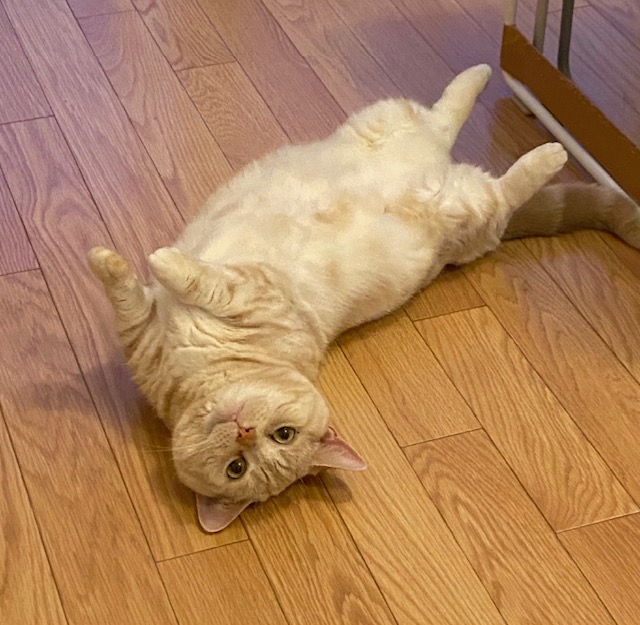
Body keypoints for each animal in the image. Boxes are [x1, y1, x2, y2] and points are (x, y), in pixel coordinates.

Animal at [89, 64, 640, 532]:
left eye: (279, 438)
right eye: (237, 466)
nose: (245, 430)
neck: (198, 374)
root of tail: (437, 177)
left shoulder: (258, 292)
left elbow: (198, 278)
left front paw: (160, 260)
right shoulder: (142, 329)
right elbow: (125, 289)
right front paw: (106, 259)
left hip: (465, 201)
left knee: (494, 175)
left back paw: (546, 145)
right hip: (391, 130)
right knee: (442, 118)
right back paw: (488, 78)